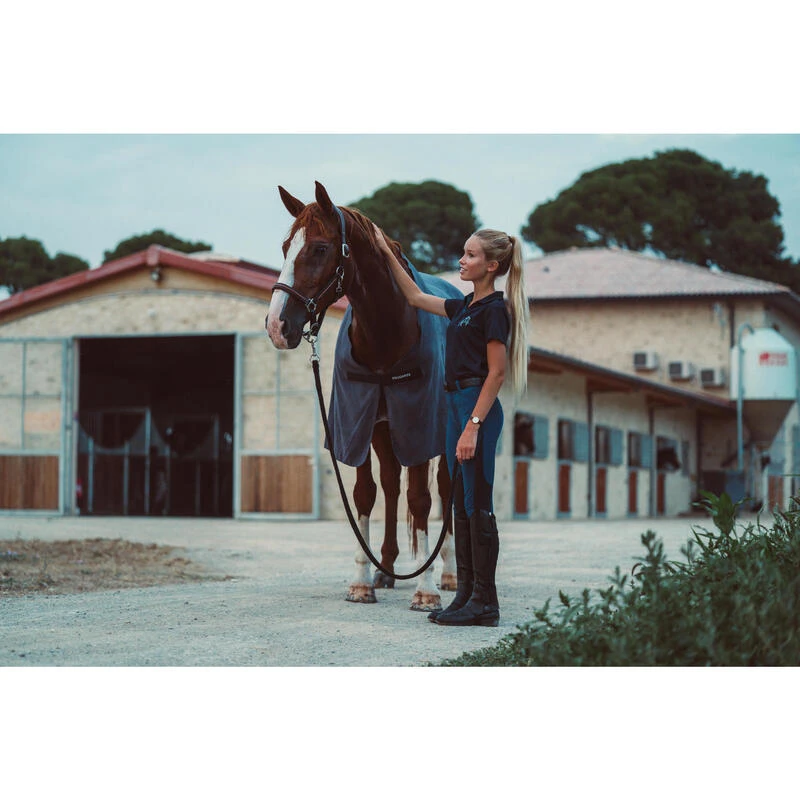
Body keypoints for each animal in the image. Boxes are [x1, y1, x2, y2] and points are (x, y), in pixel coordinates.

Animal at [265, 181, 462, 611]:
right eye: (286, 246)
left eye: (320, 248)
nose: (276, 326)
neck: (386, 335)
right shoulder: (362, 423)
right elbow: (365, 495)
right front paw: (360, 581)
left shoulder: (419, 423)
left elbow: (420, 499)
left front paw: (426, 590)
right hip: (386, 433)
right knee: (390, 485)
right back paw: (385, 569)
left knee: (444, 490)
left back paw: (449, 573)